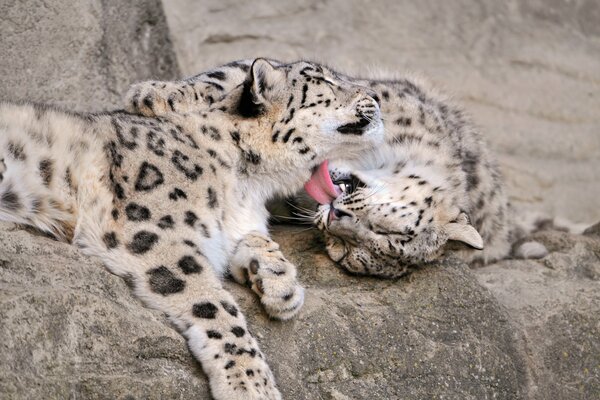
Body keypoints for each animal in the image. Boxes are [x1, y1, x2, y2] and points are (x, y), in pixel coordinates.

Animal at [0, 57, 384, 398]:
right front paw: (250, 384)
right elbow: (215, 306)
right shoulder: (154, 231)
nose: (377, 98)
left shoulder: (232, 227)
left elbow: (255, 239)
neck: (249, 187)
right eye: (325, 81)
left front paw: (281, 285)